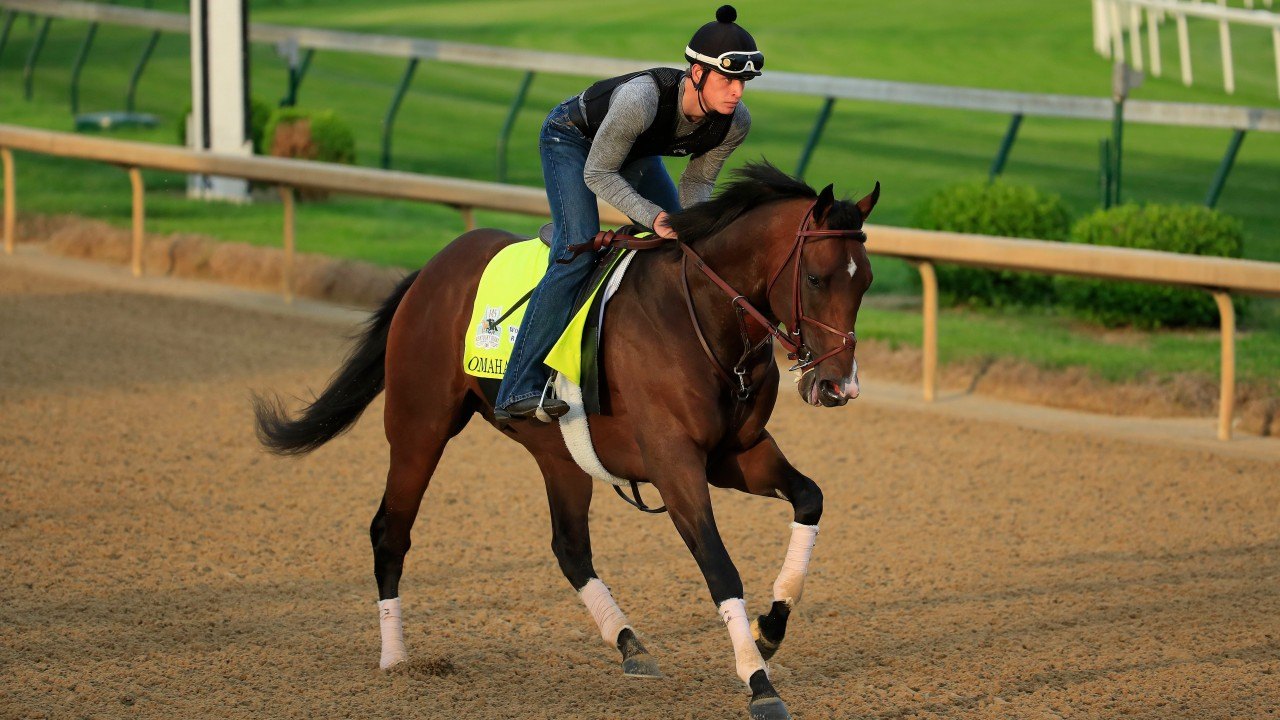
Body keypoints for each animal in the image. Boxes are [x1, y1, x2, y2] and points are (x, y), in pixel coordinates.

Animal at [256, 162, 885, 717]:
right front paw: (758, 681)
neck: (700, 319)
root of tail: (432, 268)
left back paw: (628, 641)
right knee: (390, 530)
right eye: (815, 278)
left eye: (867, 282)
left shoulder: (735, 455)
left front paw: (771, 627)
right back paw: (395, 657)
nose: (838, 385)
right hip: (419, 425)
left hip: (559, 453)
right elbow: (719, 568)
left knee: (569, 547)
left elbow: (809, 498)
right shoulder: (675, 464)